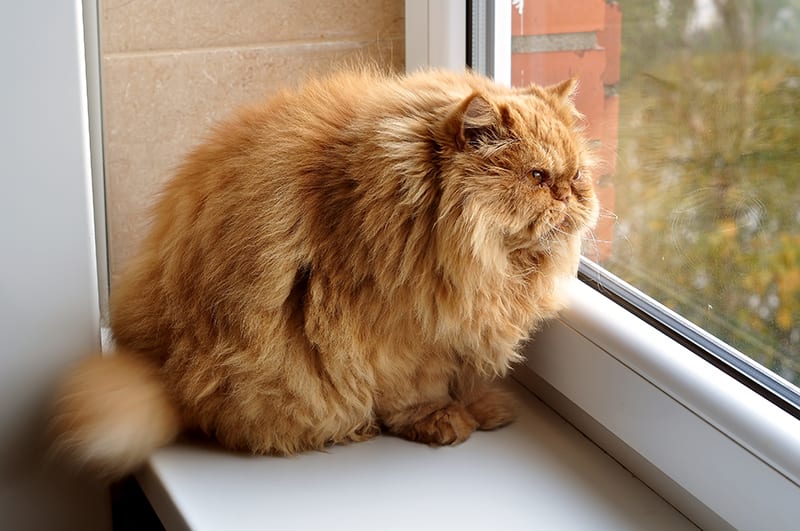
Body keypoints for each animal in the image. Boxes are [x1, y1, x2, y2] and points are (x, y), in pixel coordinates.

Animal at [51, 67, 600, 478]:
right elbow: (420, 390)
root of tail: (157, 365)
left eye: (577, 176)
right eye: (537, 177)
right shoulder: (405, 336)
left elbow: (465, 378)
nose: (569, 195)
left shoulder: (459, 326)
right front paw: (442, 421)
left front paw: (483, 407)